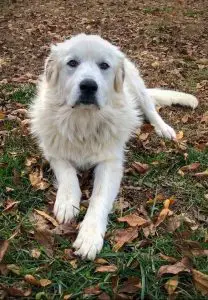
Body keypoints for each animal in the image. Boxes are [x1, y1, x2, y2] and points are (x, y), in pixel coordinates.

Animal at [29, 32, 198, 258]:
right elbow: (67, 174)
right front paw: (67, 202)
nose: (89, 86)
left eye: (104, 65)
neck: (84, 121)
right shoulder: (54, 151)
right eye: (72, 63)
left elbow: (99, 199)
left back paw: (164, 129)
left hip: (138, 89)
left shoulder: (110, 163)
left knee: (151, 110)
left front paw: (89, 236)